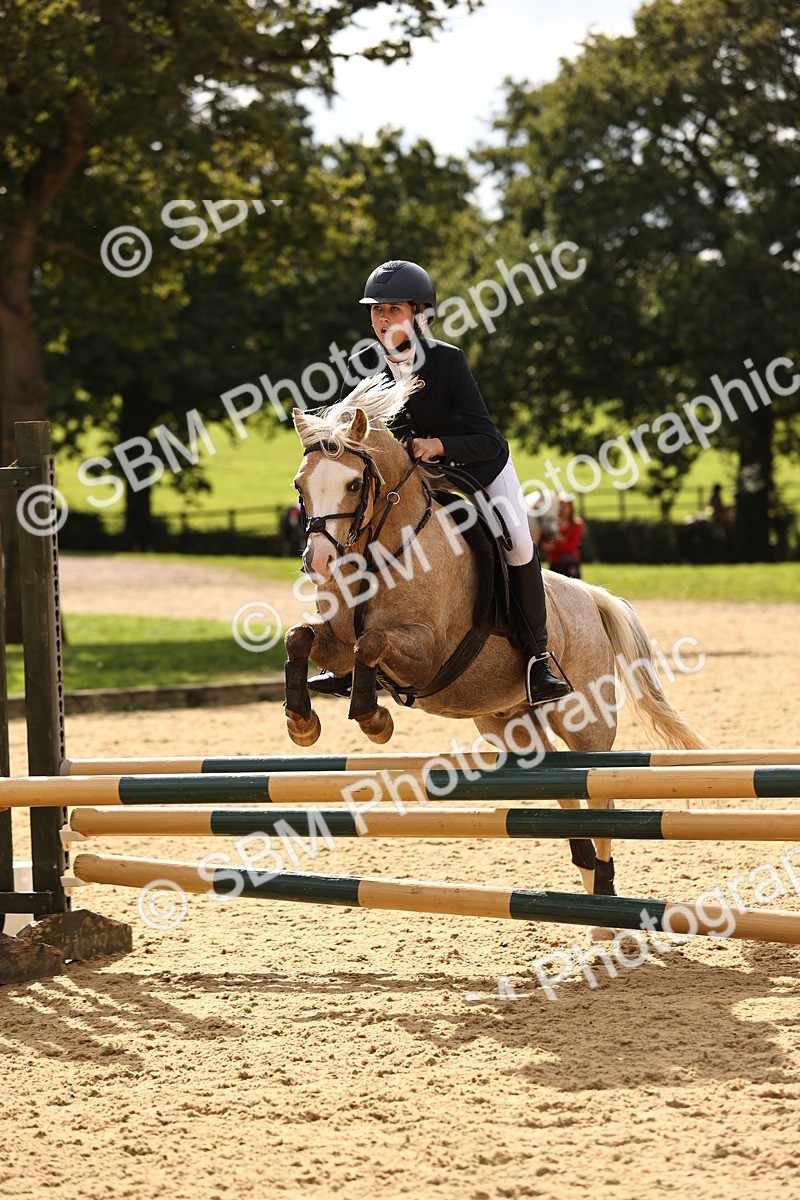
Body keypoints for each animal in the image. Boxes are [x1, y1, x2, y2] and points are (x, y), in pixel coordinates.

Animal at [283, 375, 708, 915]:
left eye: (354, 484)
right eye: (300, 486)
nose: (318, 562)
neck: (378, 552)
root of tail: (590, 597)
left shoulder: (427, 653)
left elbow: (371, 646)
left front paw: (375, 720)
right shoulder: (336, 640)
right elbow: (302, 638)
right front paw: (302, 722)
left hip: (588, 722)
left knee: (600, 795)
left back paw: (605, 895)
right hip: (509, 726)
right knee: (563, 790)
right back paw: (592, 888)